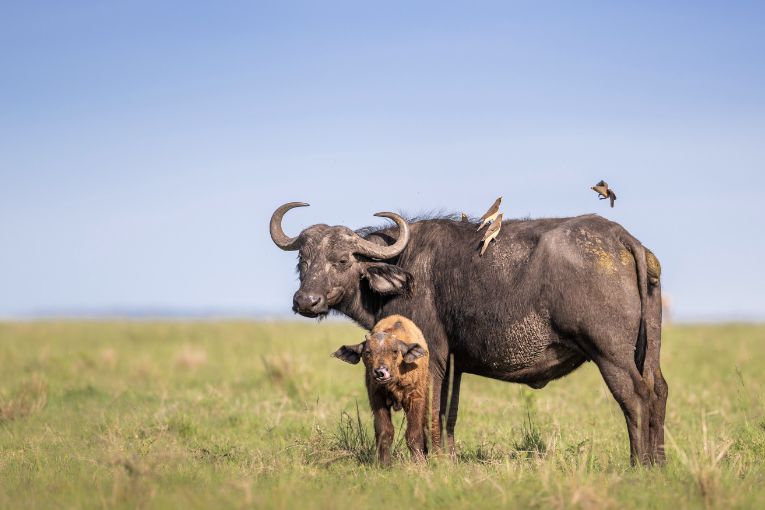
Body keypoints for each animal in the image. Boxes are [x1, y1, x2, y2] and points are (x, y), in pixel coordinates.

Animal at [272, 201, 664, 464]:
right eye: (302, 261)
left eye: (342, 261)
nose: (306, 301)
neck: (403, 268)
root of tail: (620, 238)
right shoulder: (453, 363)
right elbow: (448, 412)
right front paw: (446, 458)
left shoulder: (432, 356)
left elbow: (430, 409)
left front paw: (427, 459)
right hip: (648, 354)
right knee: (658, 391)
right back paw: (658, 464)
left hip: (610, 353)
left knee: (635, 397)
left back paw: (638, 464)